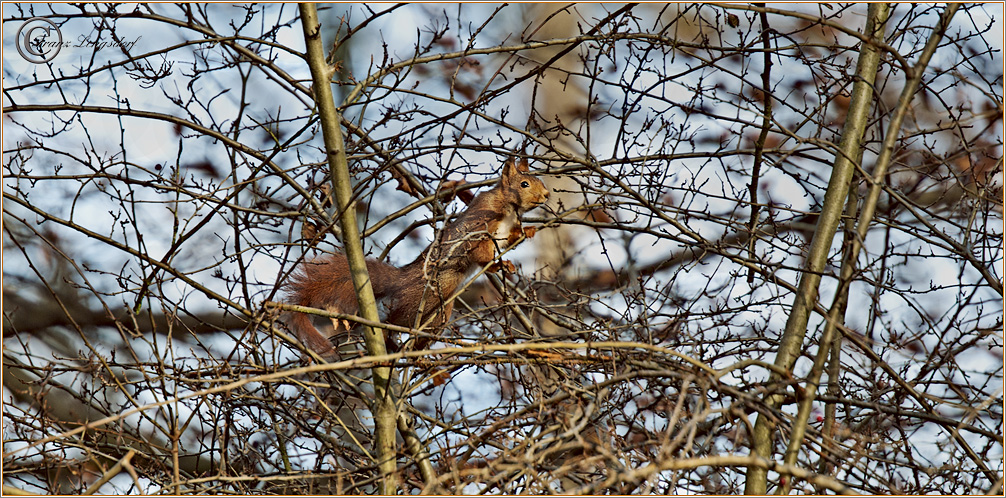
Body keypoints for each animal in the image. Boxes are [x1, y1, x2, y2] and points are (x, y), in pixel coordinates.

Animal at [283, 157, 551, 356]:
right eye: (524, 184)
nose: (547, 195)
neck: (510, 209)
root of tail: (402, 279)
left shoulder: (505, 231)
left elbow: (511, 238)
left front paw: (527, 232)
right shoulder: (480, 226)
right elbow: (481, 253)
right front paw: (497, 265)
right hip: (427, 297)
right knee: (397, 319)